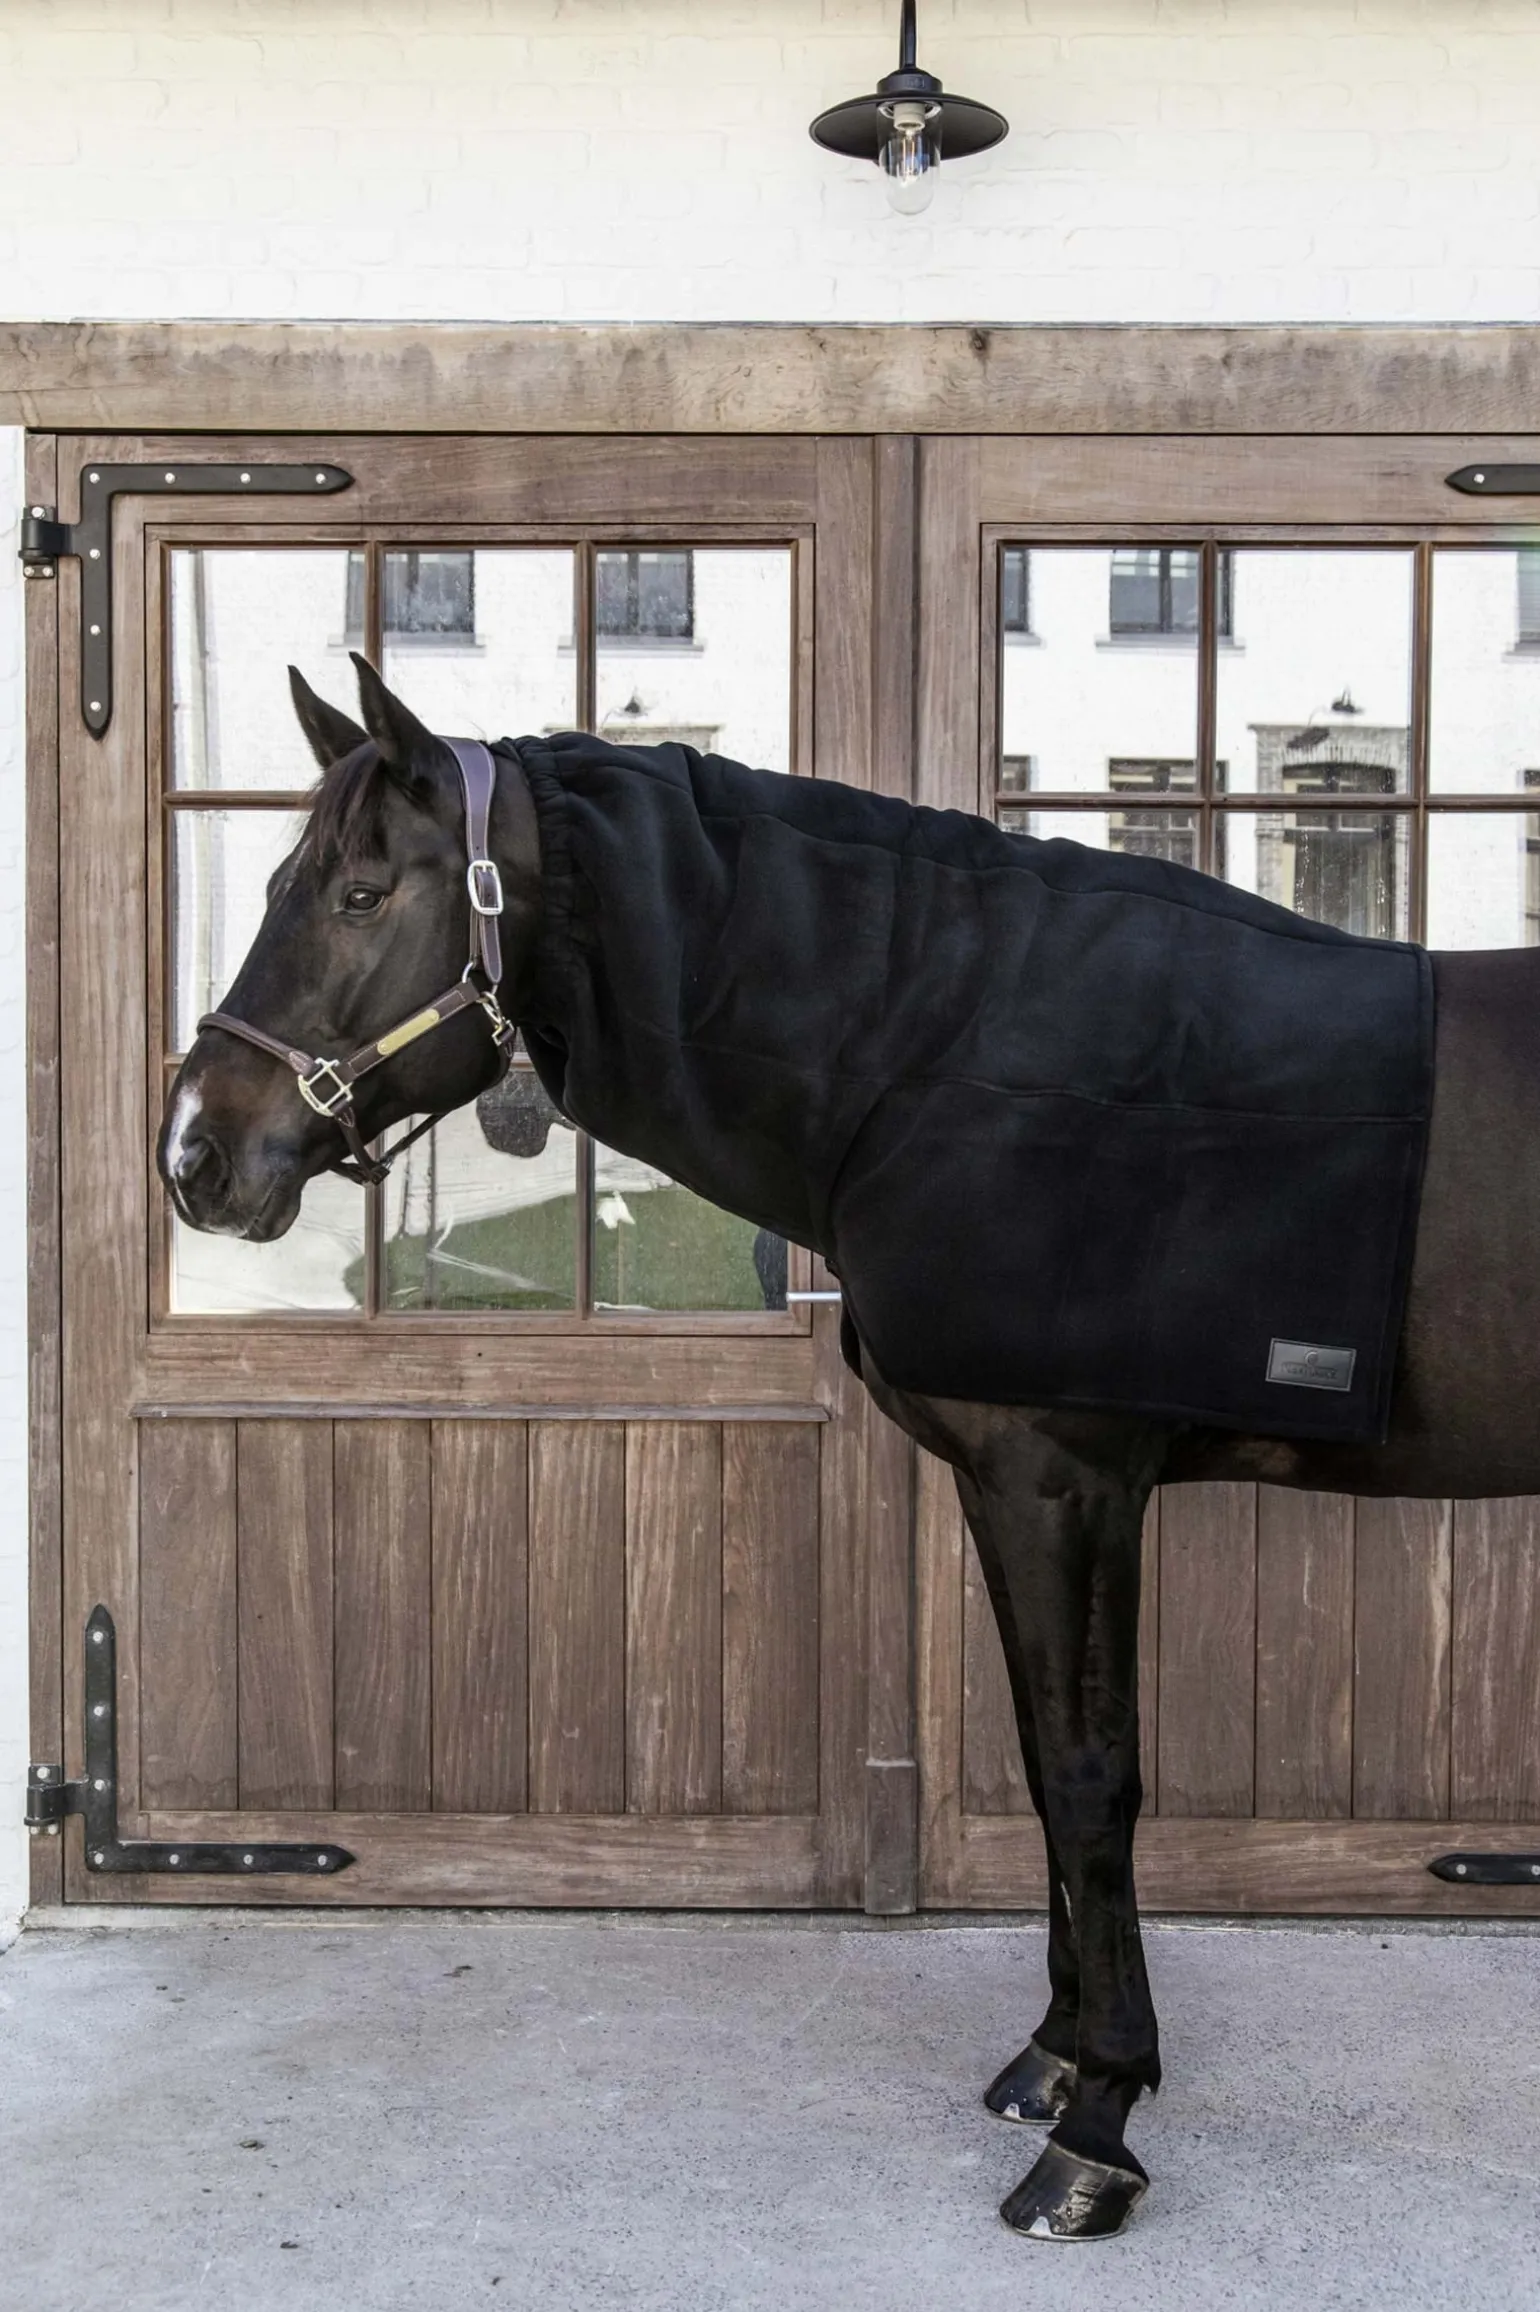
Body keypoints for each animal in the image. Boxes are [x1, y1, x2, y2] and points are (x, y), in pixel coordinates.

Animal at [159, 656, 1540, 2241]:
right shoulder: (1023, 1489)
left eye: (364, 894)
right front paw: (1054, 2059)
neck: (951, 1049)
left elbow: (1088, 1775)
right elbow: (1046, 1759)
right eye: (284, 881)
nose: (195, 1153)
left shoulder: (1063, 1482)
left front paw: (1099, 2128)